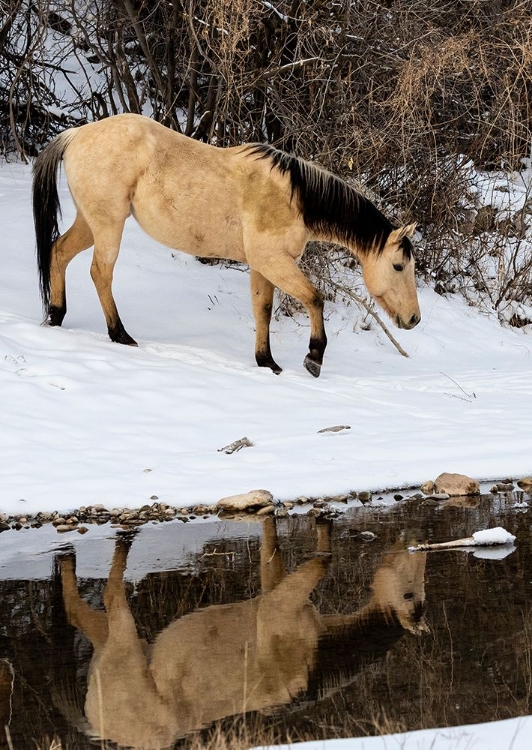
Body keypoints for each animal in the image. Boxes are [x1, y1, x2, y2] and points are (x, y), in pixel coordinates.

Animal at [33, 114, 422, 378]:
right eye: (399, 266)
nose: (414, 319)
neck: (294, 198)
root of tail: (77, 134)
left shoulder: (263, 266)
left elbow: (262, 309)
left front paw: (267, 362)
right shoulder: (274, 261)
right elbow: (314, 298)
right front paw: (313, 357)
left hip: (90, 223)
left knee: (58, 252)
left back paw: (56, 316)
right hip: (108, 225)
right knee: (100, 272)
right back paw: (120, 334)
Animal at [56, 520, 426, 748]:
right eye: (410, 595)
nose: (417, 541)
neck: (319, 657)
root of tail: (98, 727)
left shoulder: (274, 593)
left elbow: (274, 549)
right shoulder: (278, 605)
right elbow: (324, 559)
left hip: (115, 649)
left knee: (80, 611)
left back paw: (69, 557)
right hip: (125, 645)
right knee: (110, 594)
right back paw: (123, 537)